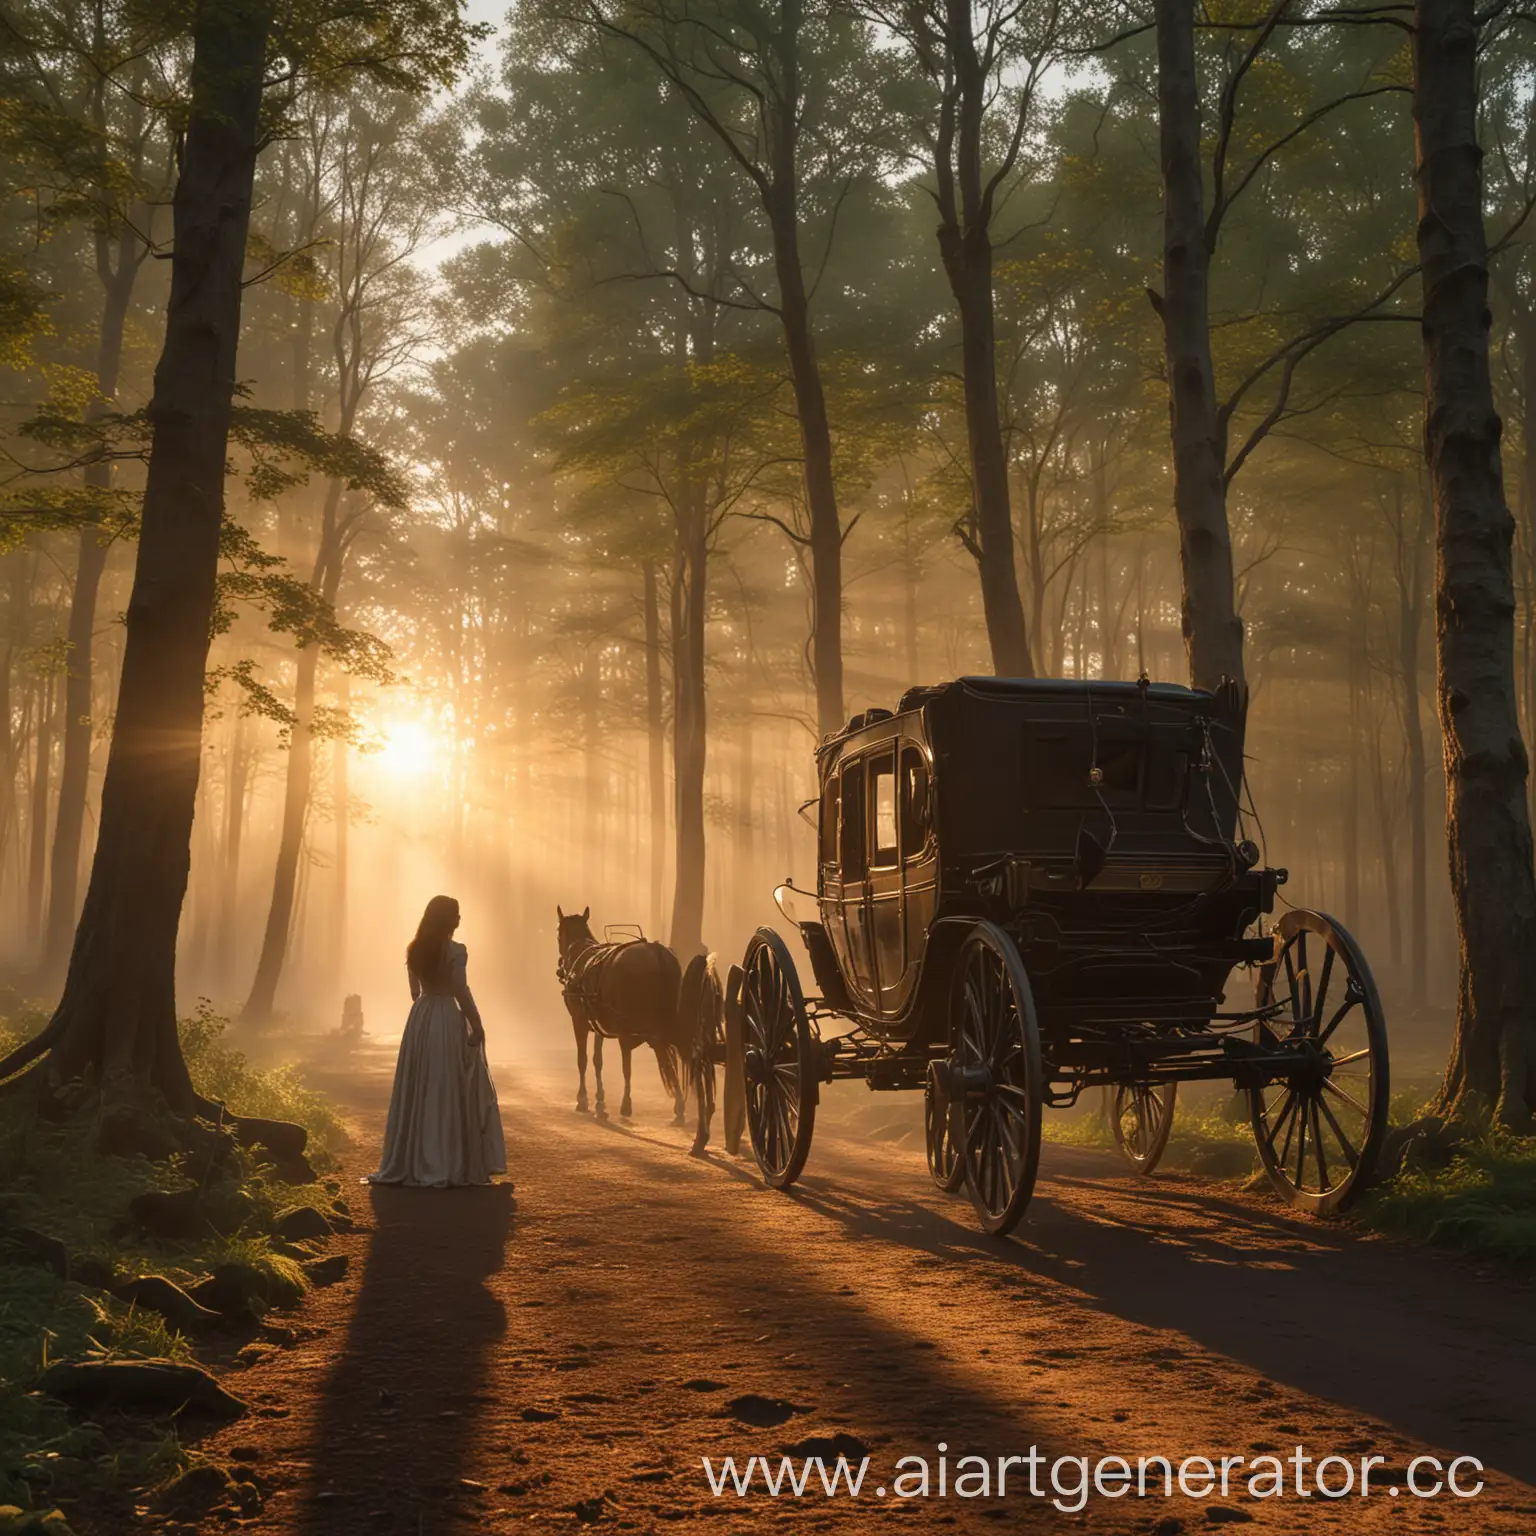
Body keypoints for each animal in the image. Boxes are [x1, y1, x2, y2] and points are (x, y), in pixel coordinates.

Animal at [559, 897, 724, 1155]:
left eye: (558, 933)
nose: (560, 967)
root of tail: (656, 953)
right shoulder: (598, 1025)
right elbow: (597, 1061)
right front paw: (600, 1101)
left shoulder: (580, 1022)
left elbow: (584, 1060)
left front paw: (584, 1099)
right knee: (683, 1058)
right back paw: (687, 1112)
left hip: (643, 1027)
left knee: (679, 1059)